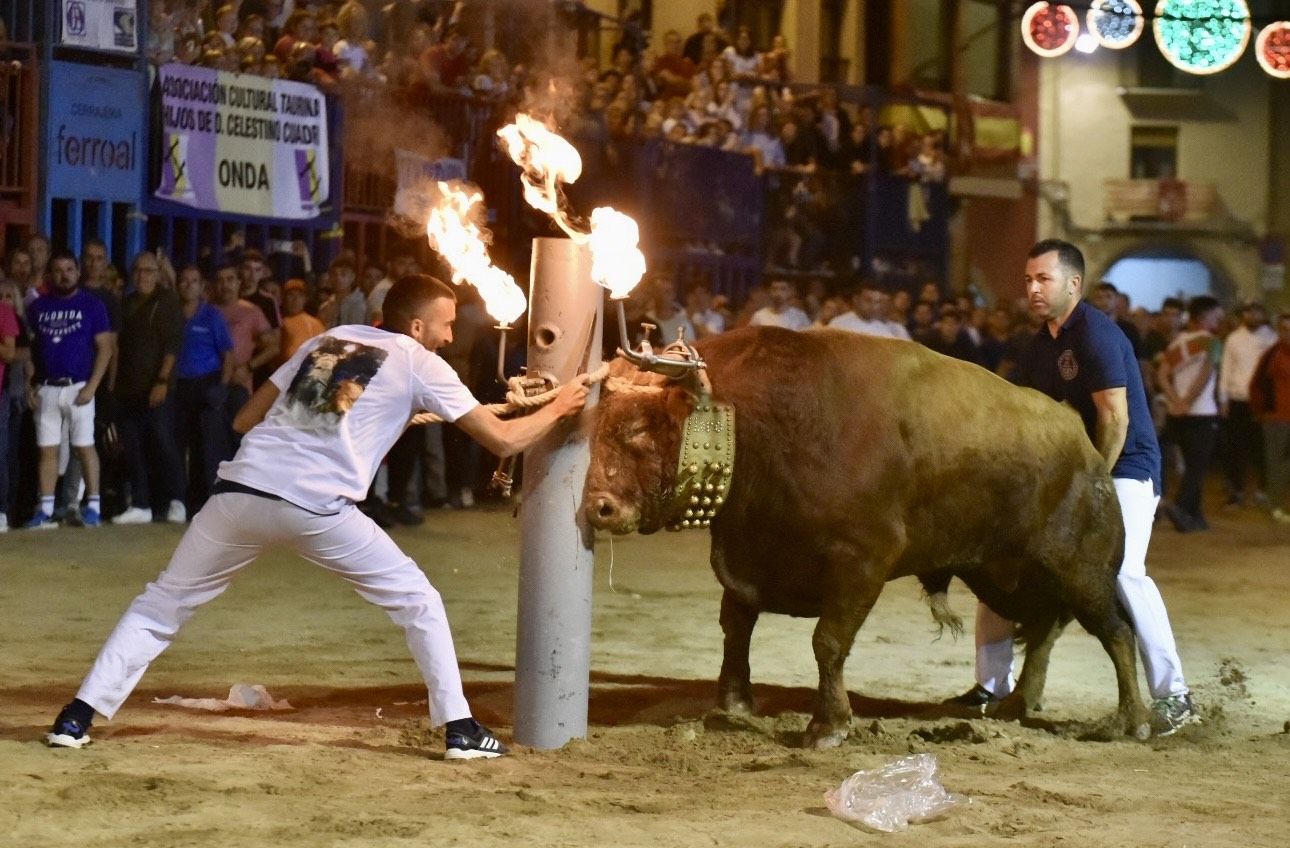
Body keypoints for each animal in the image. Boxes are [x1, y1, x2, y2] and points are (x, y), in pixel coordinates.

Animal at [580, 325, 1155, 748]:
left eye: (638, 430)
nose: (597, 508)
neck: (767, 422)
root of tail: (1085, 446)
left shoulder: (861, 562)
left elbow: (828, 641)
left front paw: (828, 725)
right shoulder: (747, 554)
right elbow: (736, 627)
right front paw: (734, 703)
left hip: (1083, 571)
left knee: (1116, 631)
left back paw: (1132, 721)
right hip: (1006, 573)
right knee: (1043, 628)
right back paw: (1016, 705)